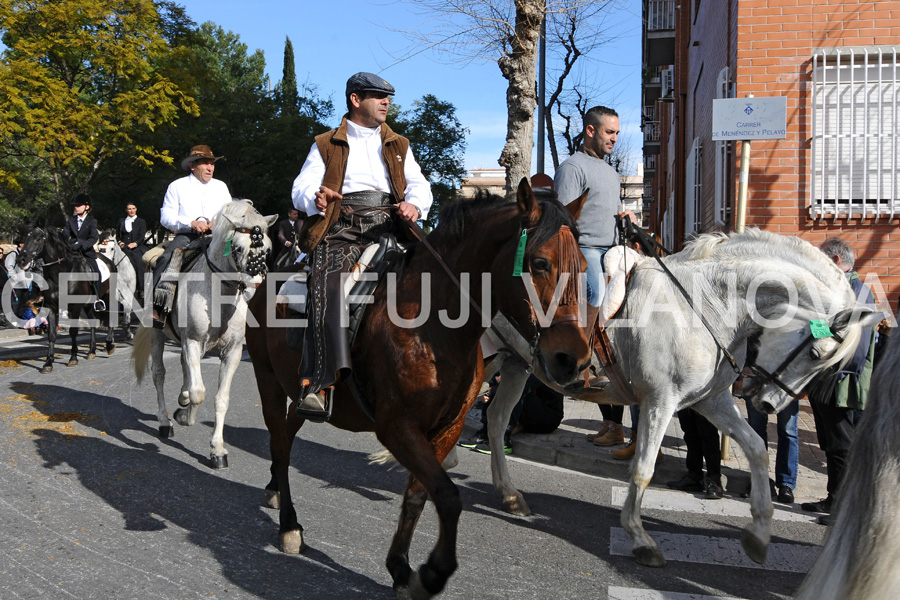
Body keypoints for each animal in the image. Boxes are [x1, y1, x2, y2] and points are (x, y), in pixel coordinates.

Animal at [18, 226, 116, 372]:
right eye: (26, 237)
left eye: (38, 238)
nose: (21, 260)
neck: (60, 273)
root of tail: (109, 261)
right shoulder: (51, 306)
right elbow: (51, 334)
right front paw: (48, 363)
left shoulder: (75, 306)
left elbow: (73, 331)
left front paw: (73, 358)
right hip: (89, 304)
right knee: (93, 321)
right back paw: (92, 351)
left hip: (108, 296)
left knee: (110, 317)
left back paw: (109, 345)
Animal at [132, 202, 276, 468]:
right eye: (238, 247)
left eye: (267, 248)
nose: (255, 286)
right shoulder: (193, 342)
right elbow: (199, 393)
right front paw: (183, 417)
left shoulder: (232, 352)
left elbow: (221, 399)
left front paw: (217, 450)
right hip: (158, 335)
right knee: (159, 374)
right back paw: (165, 422)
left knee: (184, 367)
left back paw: (182, 398)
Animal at [248, 179, 592, 600]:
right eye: (540, 263)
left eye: (584, 266)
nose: (573, 360)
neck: (432, 324)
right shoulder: (397, 427)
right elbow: (447, 496)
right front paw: (432, 572)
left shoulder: (446, 427)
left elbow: (418, 495)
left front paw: (400, 568)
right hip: (266, 379)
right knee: (280, 445)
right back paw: (289, 525)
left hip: (298, 392)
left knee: (286, 438)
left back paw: (275, 491)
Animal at [482, 229, 884, 568]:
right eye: (816, 354)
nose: (769, 404)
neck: (704, 306)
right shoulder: (660, 401)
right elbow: (644, 469)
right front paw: (641, 538)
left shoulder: (711, 402)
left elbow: (756, 448)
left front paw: (758, 533)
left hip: (514, 365)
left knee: (496, 420)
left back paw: (510, 494)